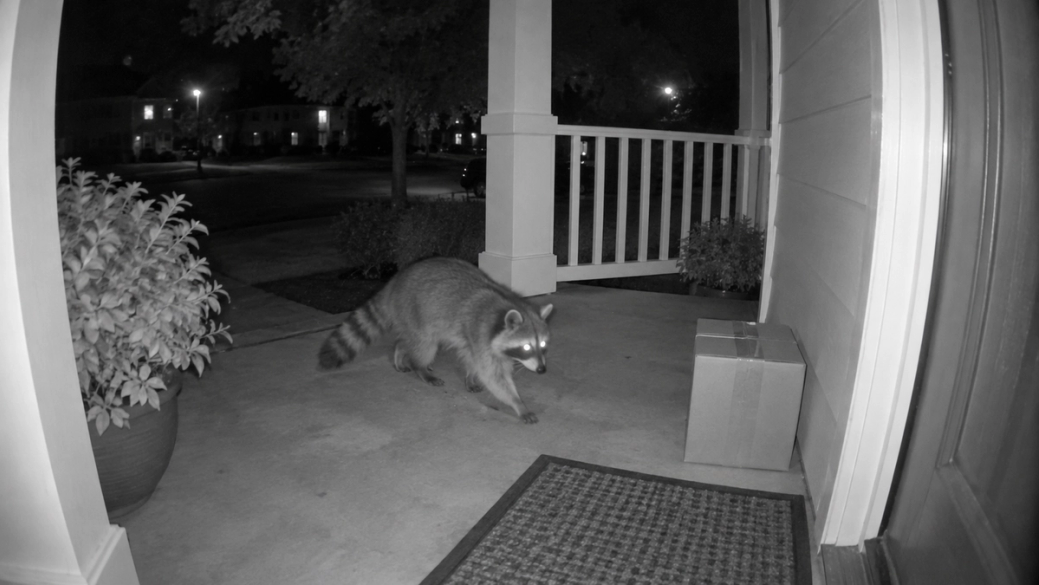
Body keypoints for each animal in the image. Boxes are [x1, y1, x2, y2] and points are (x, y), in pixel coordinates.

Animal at [318, 257, 553, 423]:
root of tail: (395, 281)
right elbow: (493, 377)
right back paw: (419, 367)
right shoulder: (480, 334)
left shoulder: (476, 341)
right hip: (415, 310)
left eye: (542, 345)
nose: (542, 370)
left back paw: (400, 351)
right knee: (425, 344)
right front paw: (518, 403)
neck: (505, 306)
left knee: (410, 340)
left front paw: (470, 376)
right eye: (526, 346)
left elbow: (472, 360)